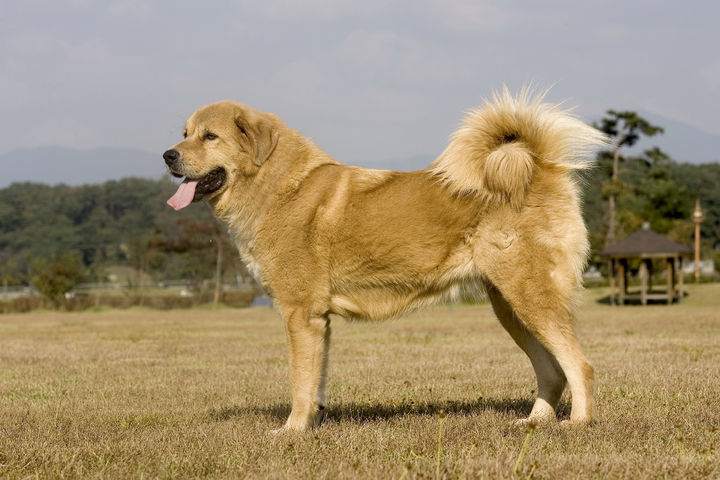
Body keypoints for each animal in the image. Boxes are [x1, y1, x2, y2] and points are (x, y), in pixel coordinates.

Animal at [163, 88, 608, 430]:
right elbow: (315, 382)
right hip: (510, 307)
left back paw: (577, 424)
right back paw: (534, 422)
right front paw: (313, 424)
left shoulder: (300, 313)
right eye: (185, 134)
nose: (168, 155)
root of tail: (540, 165)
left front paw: (292, 431)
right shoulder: (318, 321)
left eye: (209, 136)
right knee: (552, 371)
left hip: (529, 297)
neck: (277, 184)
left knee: (580, 366)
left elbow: (299, 382)